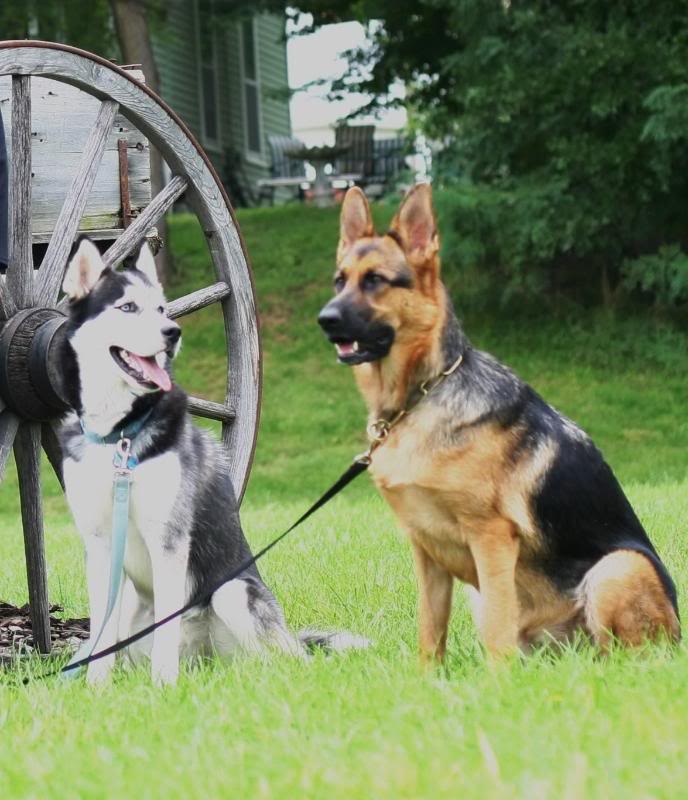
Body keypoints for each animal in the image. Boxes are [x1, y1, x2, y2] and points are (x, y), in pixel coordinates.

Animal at [62, 238, 366, 680]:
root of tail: (206, 659)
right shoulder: (100, 545)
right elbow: (100, 641)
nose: (173, 332)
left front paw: (163, 687)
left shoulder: (168, 541)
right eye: (127, 307)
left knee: (285, 660)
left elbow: (164, 633)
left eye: (162, 309)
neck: (119, 433)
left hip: (232, 592)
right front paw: (96, 689)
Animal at [318, 184, 676, 660]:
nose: (325, 320)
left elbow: (495, 632)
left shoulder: (491, 540)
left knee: (623, 656)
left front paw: (497, 678)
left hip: (617, 567)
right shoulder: (426, 551)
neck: (423, 394)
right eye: (340, 281)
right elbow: (430, 633)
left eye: (375, 280)